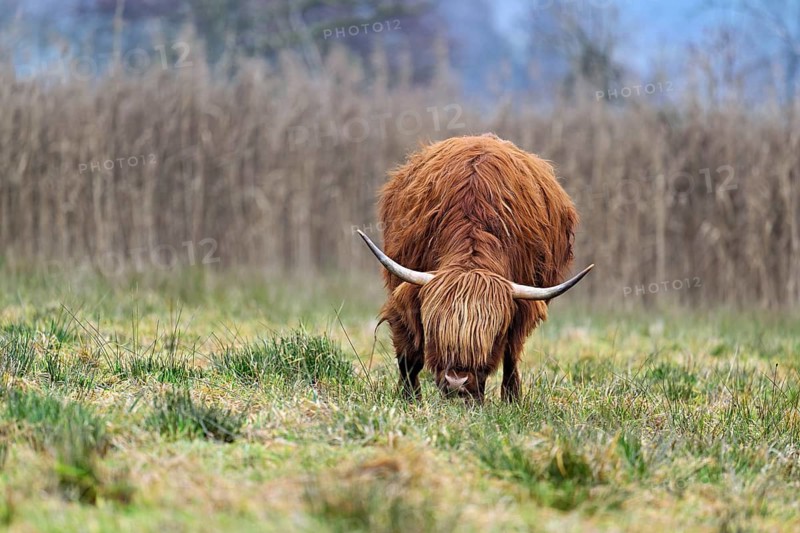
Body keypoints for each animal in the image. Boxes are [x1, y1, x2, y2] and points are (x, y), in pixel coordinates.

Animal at [357, 133, 593, 402]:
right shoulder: (403, 290)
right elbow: (409, 355)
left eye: (493, 334)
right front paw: (410, 398)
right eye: (434, 327)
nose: (457, 382)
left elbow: (510, 351)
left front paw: (505, 399)